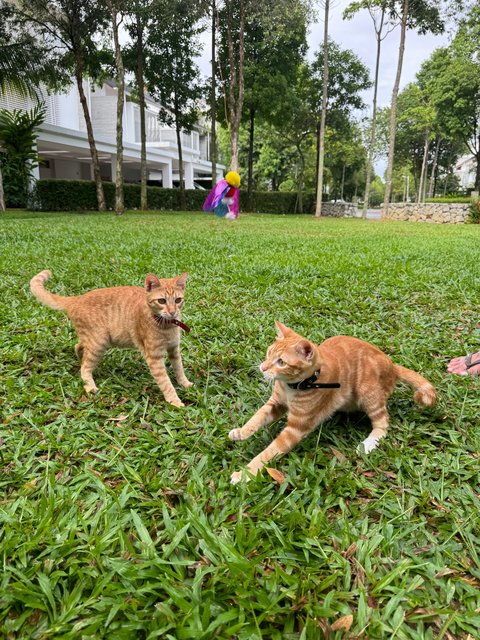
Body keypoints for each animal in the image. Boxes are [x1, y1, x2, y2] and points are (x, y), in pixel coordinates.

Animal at [29, 268, 191, 404]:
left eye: (178, 300)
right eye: (162, 301)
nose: (172, 312)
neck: (167, 326)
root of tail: (76, 298)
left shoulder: (174, 349)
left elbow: (179, 368)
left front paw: (184, 383)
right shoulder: (154, 357)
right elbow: (165, 382)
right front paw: (175, 401)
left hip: (95, 341)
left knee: (79, 348)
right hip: (99, 342)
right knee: (85, 367)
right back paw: (90, 386)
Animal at [231, 322, 436, 482]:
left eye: (281, 362)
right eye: (268, 353)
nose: (262, 368)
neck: (292, 387)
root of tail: (393, 365)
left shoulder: (295, 428)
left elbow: (268, 452)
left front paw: (244, 474)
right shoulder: (275, 404)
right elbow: (257, 417)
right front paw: (241, 432)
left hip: (368, 392)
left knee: (383, 422)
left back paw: (369, 443)